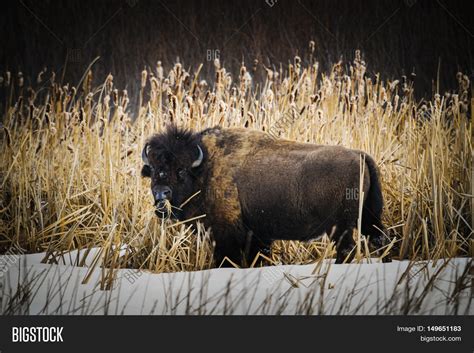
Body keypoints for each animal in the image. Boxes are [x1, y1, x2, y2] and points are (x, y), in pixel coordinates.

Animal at [142, 125, 392, 266]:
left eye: (181, 170)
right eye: (152, 169)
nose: (161, 194)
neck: (205, 169)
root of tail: (360, 155)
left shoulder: (226, 235)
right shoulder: (258, 236)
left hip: (341, 227)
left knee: (347, 249)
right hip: (369, 218)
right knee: (381, 239)